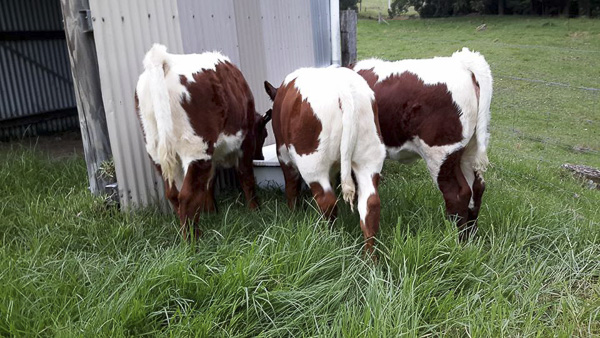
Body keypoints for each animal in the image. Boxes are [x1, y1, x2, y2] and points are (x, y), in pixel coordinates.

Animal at [137, 45, 270, 239]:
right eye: (264, 134)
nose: (260, 156)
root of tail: (164, 59)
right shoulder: (245, 142)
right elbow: (246, 176)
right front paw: (255, 210)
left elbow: (209, 183)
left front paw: (212, 212)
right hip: (196, 148)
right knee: (186, 196)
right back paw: (193, 239)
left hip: (157, 153)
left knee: (173, 194)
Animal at [264, 66, 386, 254]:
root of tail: (343, 89)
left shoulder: (283, 155)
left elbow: (291, 187)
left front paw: (293, 213)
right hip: (370, 157)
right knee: (370, 205)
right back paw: (369, 257)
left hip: (312, 162)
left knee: (327, 202)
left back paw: (328, 239)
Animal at [352, 48, 492, 238]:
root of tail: (462, 62)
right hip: (469, 150)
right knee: (476, 188)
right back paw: (471, 237)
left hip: (441, 153)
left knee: (457, 194)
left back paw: (457, 240)